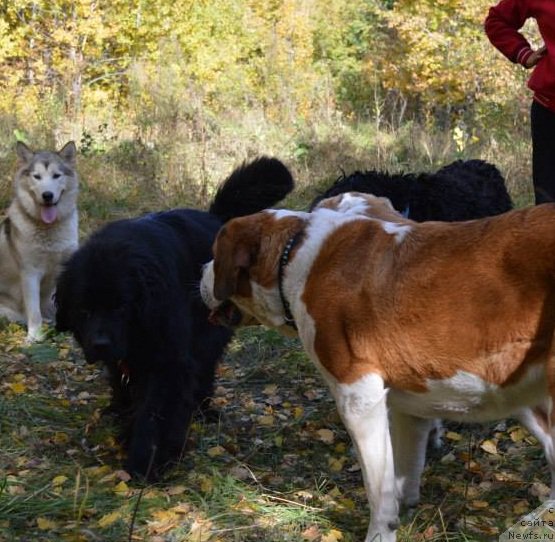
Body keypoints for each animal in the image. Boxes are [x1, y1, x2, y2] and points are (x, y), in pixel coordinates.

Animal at [0, 142, 78, 342]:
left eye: (56, 175)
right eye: (37, 176)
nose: (47, 195)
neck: (49, 231)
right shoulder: (29, 273)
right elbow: (34, 312)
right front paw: (35, 337)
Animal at [55, 158, 296, 480]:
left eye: (121, 307)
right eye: (84, 310)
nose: (101, 343)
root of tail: (214, 218)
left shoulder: (169, 362)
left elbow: (157, 413)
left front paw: (147, 460)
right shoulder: (125, 358)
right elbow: (126, 387)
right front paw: (123, 422)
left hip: (207, 335)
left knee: (204, 371)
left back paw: (204, 411)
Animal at [202, 194, 555, 542]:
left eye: (214, 255)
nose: (201, 270)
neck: (294, 259)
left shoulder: (358, 399)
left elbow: (379, 488)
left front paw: (380, 532)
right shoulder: (412, 404)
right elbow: (403, 469)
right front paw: (406, 509)